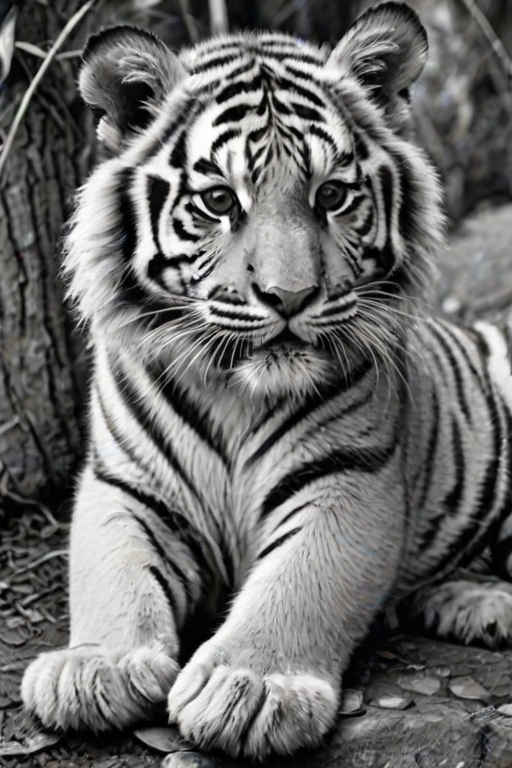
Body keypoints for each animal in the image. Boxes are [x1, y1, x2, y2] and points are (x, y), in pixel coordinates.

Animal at [21, 1, 512, 760]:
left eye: (332, 195)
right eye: (220, 201)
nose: (290, 296)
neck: (235, 393)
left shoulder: (349, 476)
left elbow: (298, 585)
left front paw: (250, 688)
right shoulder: (124, 484)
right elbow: (112, 575)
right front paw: (94, 667)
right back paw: (475, 605)